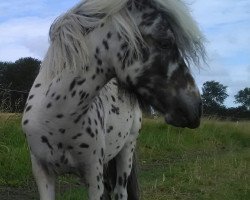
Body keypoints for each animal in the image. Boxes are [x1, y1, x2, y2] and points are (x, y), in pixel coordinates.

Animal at [21, 0, 205, 199]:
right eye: (165, 42)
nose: (196, 108)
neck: (57, 118)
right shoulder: (42, 173)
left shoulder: (94, 174)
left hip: (126, 149)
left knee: (120, 192)